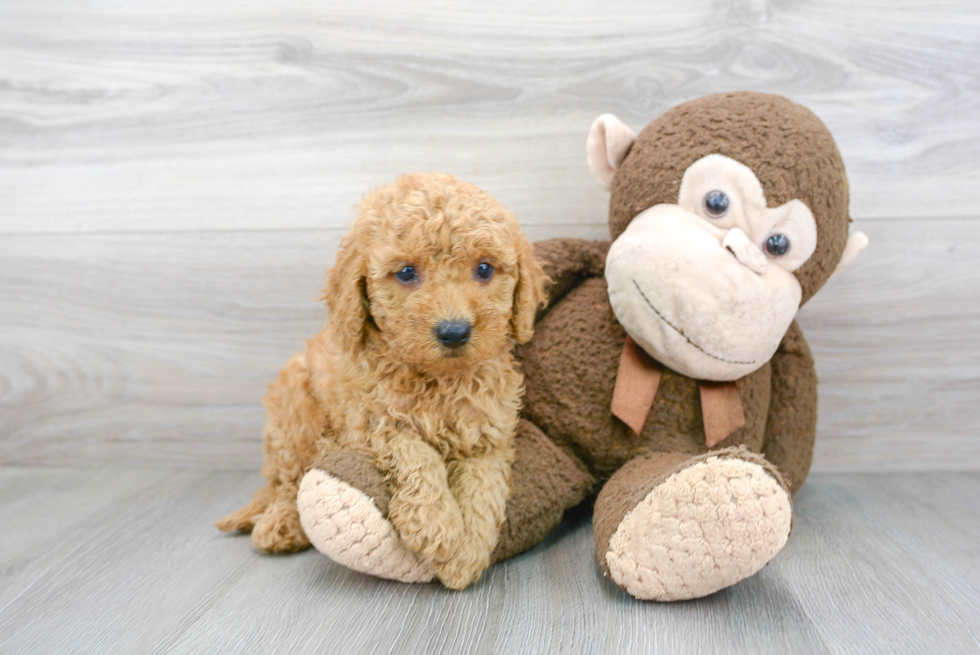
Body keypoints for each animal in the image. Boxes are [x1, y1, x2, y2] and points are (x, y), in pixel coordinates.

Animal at [217, 173, 548, 588]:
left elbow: (482, 487)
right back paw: (279, 525)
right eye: (406, 272)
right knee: (286, 481)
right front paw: (437, 524)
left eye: (485, 269)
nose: (454, 332)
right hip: (294, 416)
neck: (438, 380)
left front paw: (466, 553)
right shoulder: (368, 423)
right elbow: (414, 452)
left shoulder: (489, 433)